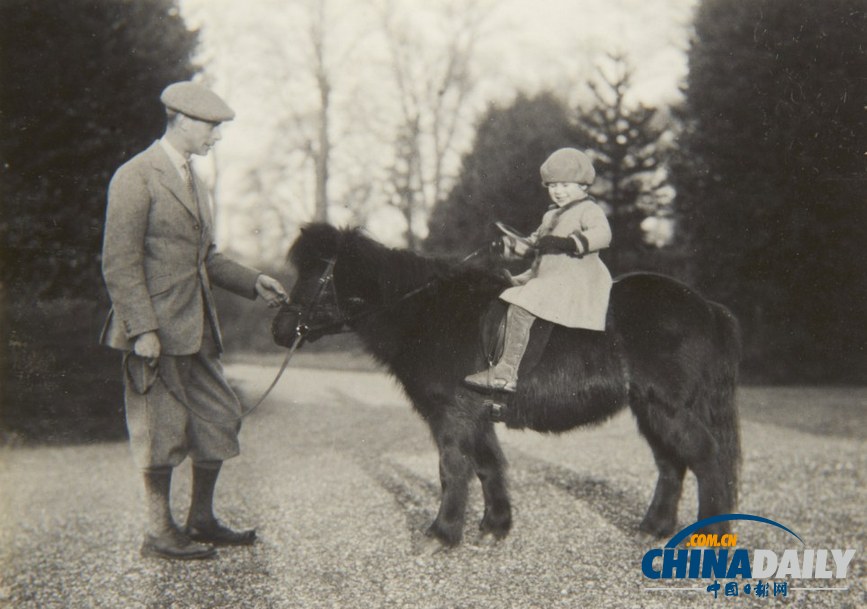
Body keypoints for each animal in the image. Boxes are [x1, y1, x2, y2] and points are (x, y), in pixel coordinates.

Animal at [274, 223, 744, 548]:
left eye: (315, 276)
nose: (279, 328)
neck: (428, 310)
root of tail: (706, 306)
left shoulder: (452, 415)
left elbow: (453, 468)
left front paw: (442, 534)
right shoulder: (476, 416)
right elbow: (488, 465)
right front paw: (494, 527)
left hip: (668, 408)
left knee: (706, 459)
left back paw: (710, 538)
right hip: (650, 409)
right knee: (672, 465)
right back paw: (653, 528)